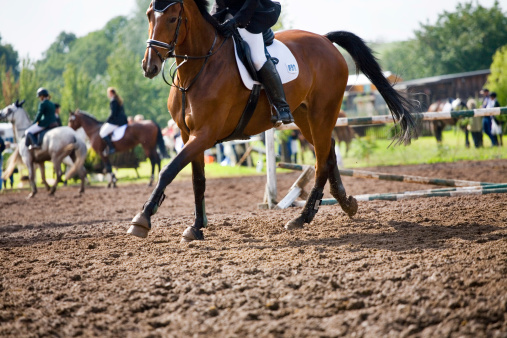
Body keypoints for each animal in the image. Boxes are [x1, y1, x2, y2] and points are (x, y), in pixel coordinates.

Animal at [127, 0, 416, 240]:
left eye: (173, 19)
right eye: (150, 15)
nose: (149, 66)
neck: (198, 69)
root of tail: (325, 40)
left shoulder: (205, 134)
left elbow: (169, 170)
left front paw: (142, 219)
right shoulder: (189, 135)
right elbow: (197, 180)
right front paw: (197, 227)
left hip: (322, 113)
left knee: (322, 160)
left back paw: (302, 217)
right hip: (304, 116)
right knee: (329, 152)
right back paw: (344, 203)